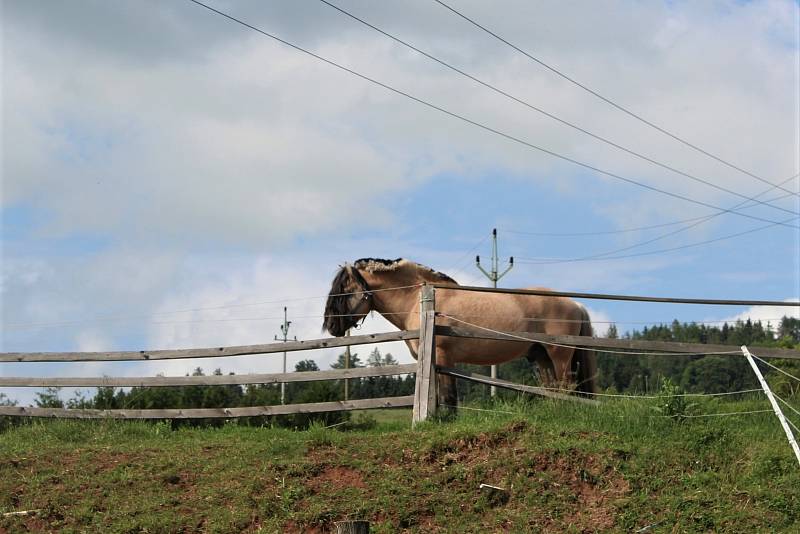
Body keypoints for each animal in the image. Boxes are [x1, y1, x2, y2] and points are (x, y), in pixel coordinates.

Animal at [322, 260, 596, 406]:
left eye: (344, 291)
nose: (331, 326)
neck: (419, 299)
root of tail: (575, 304)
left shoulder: (443, 357)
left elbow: (448, 397)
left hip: (559, 356)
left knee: (567, 387)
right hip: (541, 356)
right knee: (555, 390)